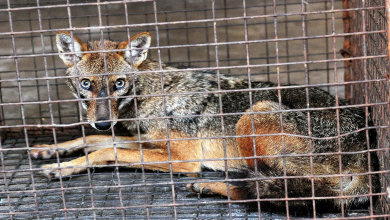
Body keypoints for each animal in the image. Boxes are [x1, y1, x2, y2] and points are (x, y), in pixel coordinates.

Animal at [32, 31, 380, 210]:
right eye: (86, 84)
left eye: (118, 83)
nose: (103, 121)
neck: (153, 93)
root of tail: (369, 152)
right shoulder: (146, 140)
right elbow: (93, 140)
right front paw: (53, 152)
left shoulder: (182, 158)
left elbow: (107, 150)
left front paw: (62, 167)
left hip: (255, 114)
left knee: (277, 191)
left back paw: (209, 185)